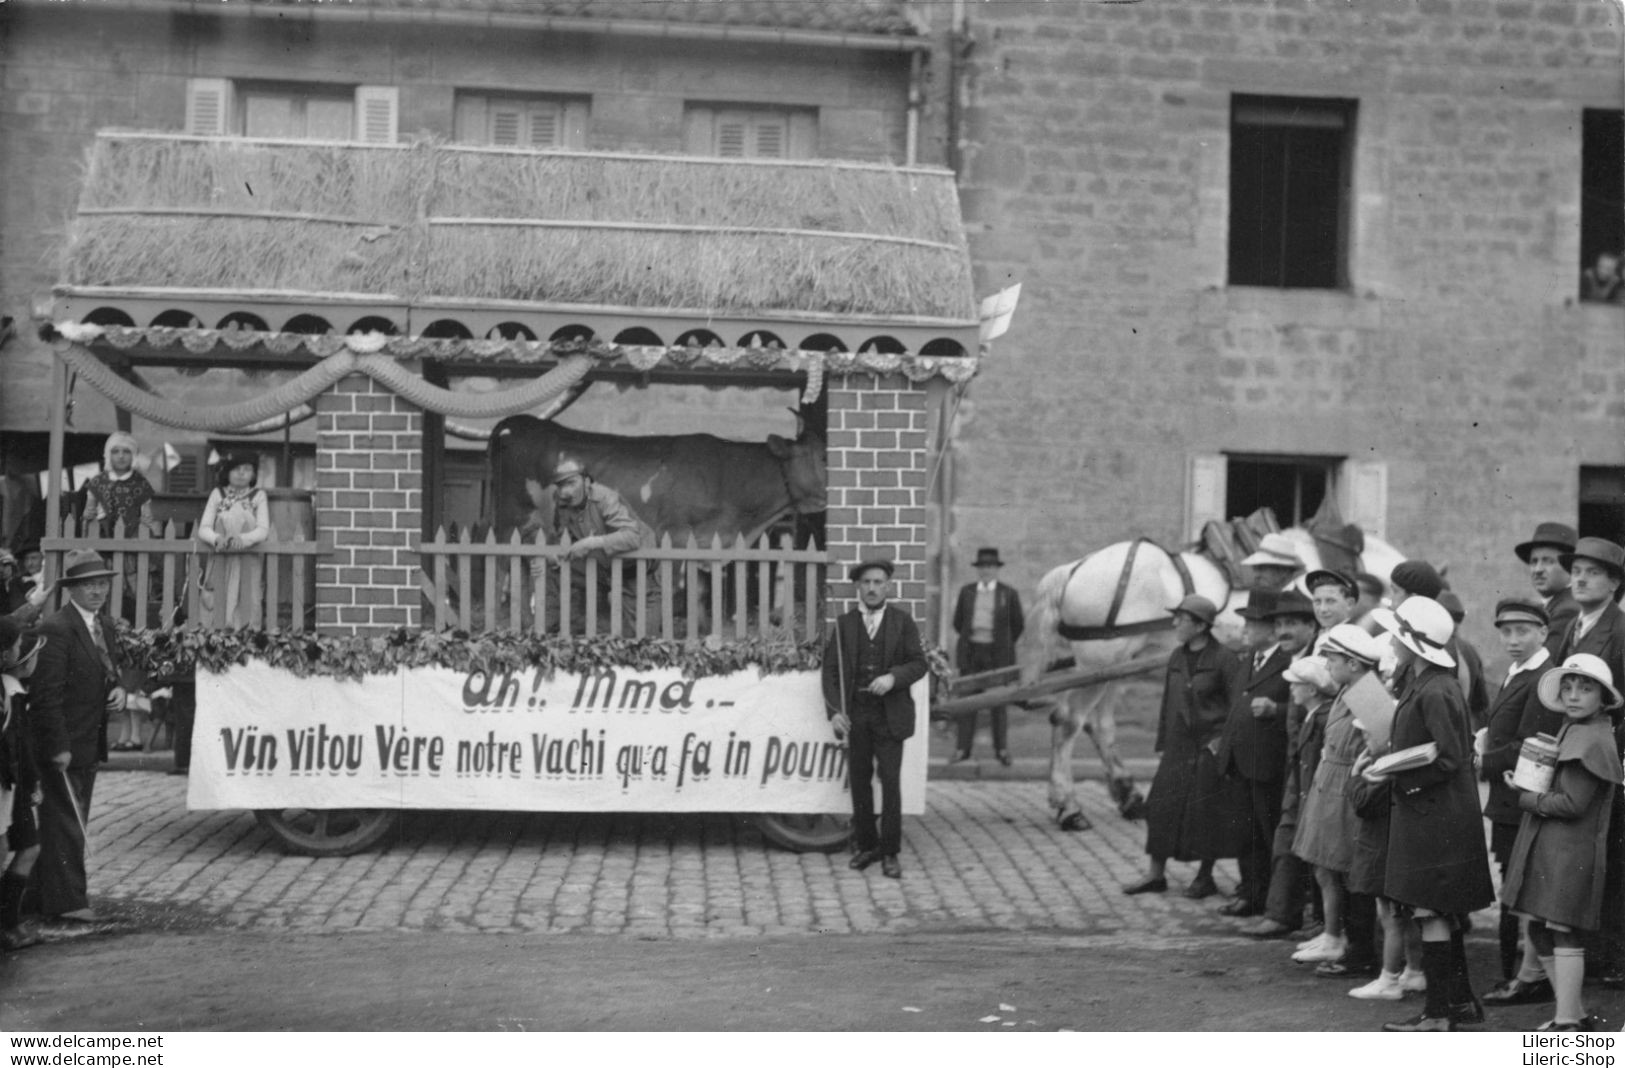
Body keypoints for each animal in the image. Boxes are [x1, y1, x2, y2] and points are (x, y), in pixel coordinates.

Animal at [1033, 529, 1404, 829]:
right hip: (1099, 661)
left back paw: (1127, 796)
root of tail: (1075, 568)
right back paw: (1069, 806)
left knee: (1098, 725)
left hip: (1118, 666)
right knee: (1068, 722)